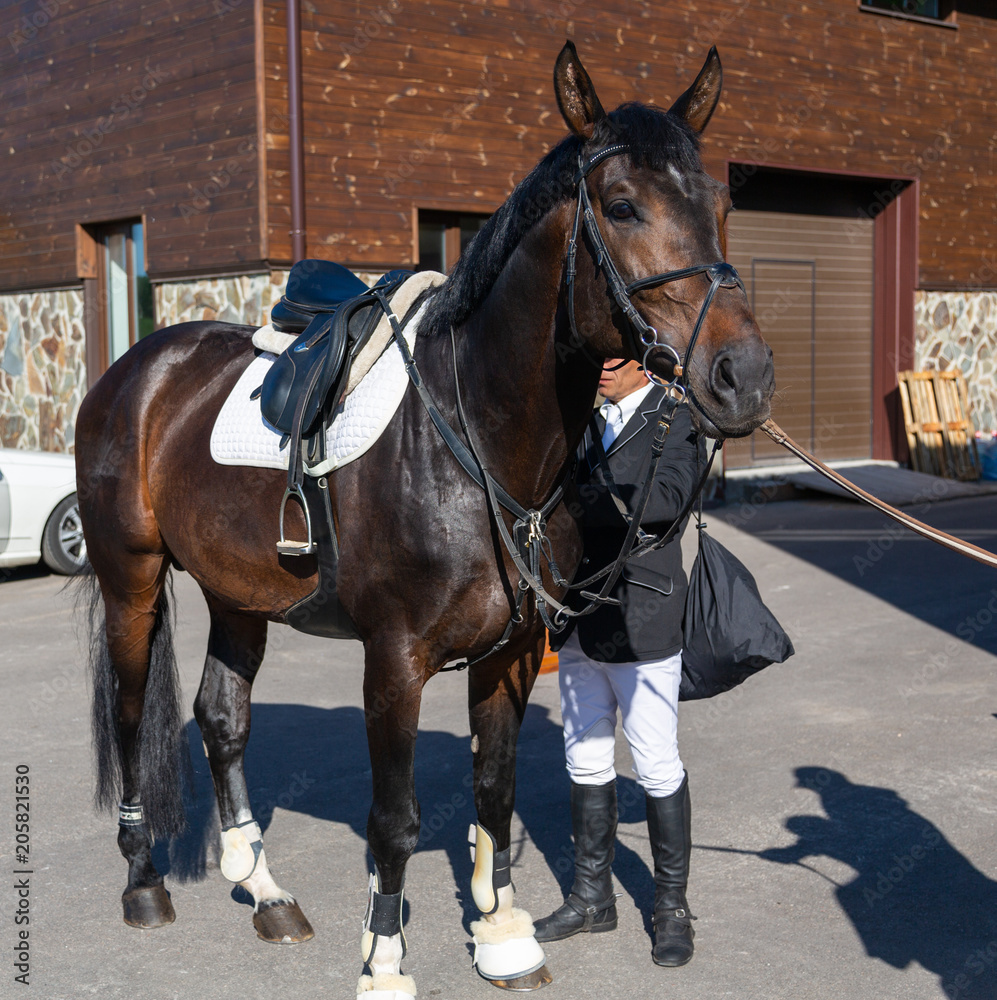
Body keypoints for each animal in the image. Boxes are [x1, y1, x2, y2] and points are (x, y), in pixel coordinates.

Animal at [77, 41, 774, 998]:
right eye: (623, 204)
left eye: (719, 204)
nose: (743, 376)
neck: (474, 436)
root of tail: (134, 371)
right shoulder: (395, 660)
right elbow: (396, 820)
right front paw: (383, 964)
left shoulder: (512, 653)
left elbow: (493, 792)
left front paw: (504, 936)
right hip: (132, 582)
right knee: (131, 710)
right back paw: (144, 883)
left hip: (237, 595)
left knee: (222, 718)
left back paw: (266, 892)